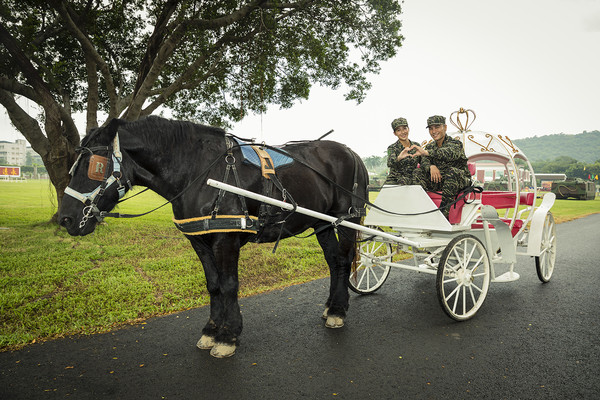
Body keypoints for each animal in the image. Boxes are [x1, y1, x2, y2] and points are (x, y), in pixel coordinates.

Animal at [62, 115, 370, 360]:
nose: (66, 219)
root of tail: (351, 151)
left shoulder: (226, 239)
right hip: (323, 223)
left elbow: (229, 285)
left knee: (344, 261)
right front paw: (211, 330)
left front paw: (227, 336)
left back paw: (338, 311)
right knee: (333, 262)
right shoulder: (199, 240)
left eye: (95, 166)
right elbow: (213, 285)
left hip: (347, 217)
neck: (199, 173)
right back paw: (331, 306)